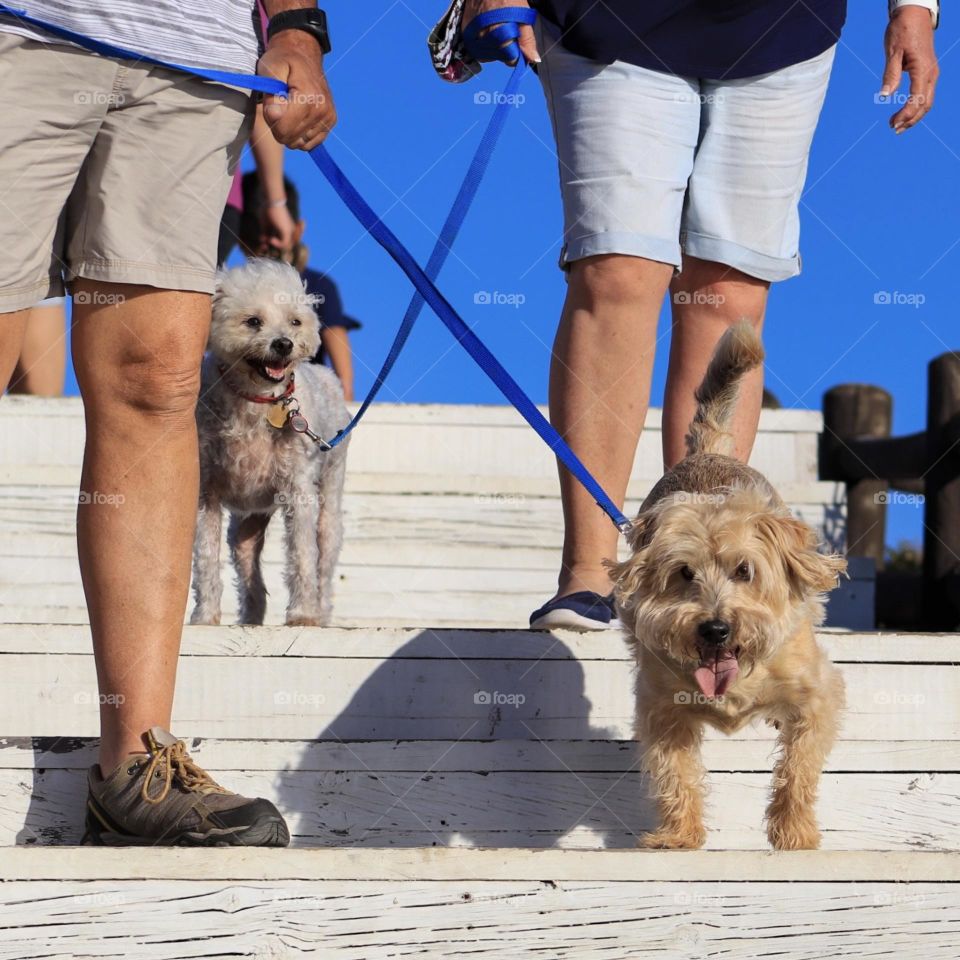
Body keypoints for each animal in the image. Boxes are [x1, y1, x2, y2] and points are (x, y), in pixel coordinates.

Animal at [189, 258, 350, 628]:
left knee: (323, 559)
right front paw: (205, 616)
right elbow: (206, 556)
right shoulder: (206, 492)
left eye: (295, 321)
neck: (257, 400)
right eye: (253, 321)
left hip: (329, 497)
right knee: (247, 563)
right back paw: (250, 618)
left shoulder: (299, 490)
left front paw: (303, 615)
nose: (284, 343)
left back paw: (321, 612)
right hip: (247, 522)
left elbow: (302, 555)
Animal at [612, 322, 844, 848]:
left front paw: (793, 831)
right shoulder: (660, 708)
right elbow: (674, 772)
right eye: (684, 573)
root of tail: (709, 451)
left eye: (744, 571)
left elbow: (799, 766)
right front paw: (679, 834)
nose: (715, 629)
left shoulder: (818, 694)